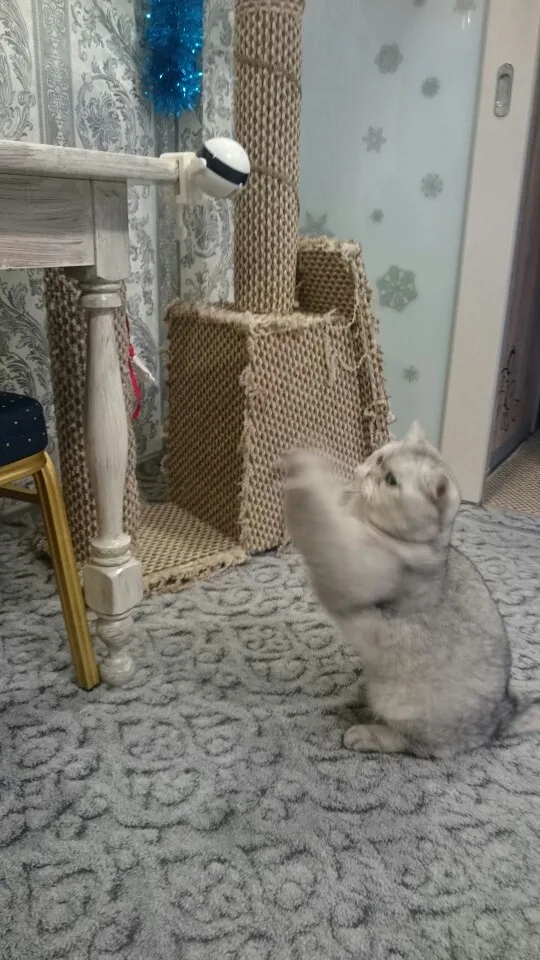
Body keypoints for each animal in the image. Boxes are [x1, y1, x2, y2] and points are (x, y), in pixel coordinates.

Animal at [282, 422, 539, 758]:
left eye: (392, 481)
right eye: (380, 459)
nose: (370, 473)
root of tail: (500, 719)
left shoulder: (349, 566)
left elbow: (319, 519)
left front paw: (304, 471)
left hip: (400, 704)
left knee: (412, 744)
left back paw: (365, 734)